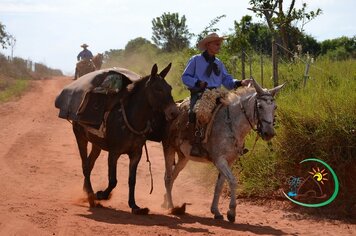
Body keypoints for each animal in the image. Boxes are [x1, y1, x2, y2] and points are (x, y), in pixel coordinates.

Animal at [72, 63, 178, 214]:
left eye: (169, 88)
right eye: (158, 89)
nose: (174, 112)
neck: (131, 119)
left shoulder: (136, 154)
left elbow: (132, 180)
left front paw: (134, 205)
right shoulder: (113, 153)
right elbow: (113, 180)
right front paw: (102, 194)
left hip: (96, 144)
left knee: (89, 164)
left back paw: (87, 191)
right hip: (80, 137)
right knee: (85, 166)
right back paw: (91, 196)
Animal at [161, 79, 284, 223]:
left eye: (275, 107)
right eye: (260, 106)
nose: (269, 133)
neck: (231, 125)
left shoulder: (228, 161)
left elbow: (219, 185)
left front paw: (216, 211)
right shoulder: (220, 160)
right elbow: (232, 181)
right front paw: (231, 212)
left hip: (183, 157)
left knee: (173, 176)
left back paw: (165, 201)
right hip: (168, 148)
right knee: (168, 178)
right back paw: (171, 206)